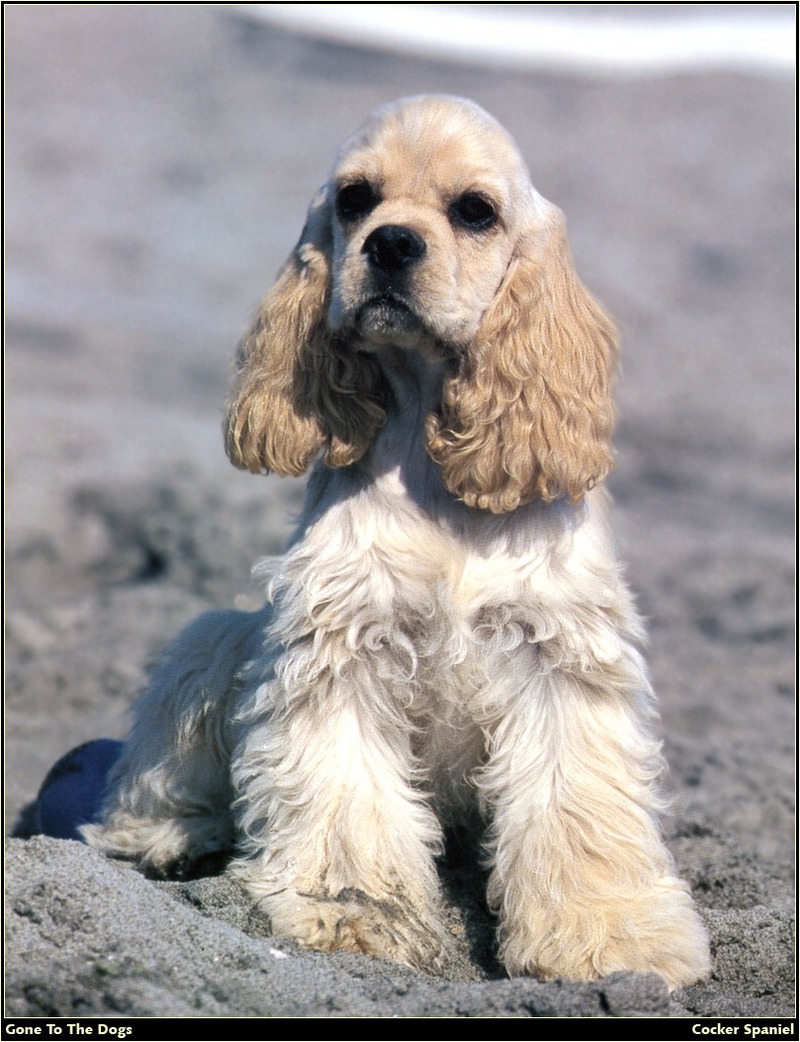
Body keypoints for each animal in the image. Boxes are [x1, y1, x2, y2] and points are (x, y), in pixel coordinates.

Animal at [84, 93, 708, 987]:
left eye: (475, 210)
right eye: (356, 198)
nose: (391, 243)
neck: (425, 441)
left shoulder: (559, 654)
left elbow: (576, 811)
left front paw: (611, 938)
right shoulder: (340, 643)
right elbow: (349, 801)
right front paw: (355, 917)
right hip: (216, 633)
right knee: (156, 785)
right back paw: (174, 839)